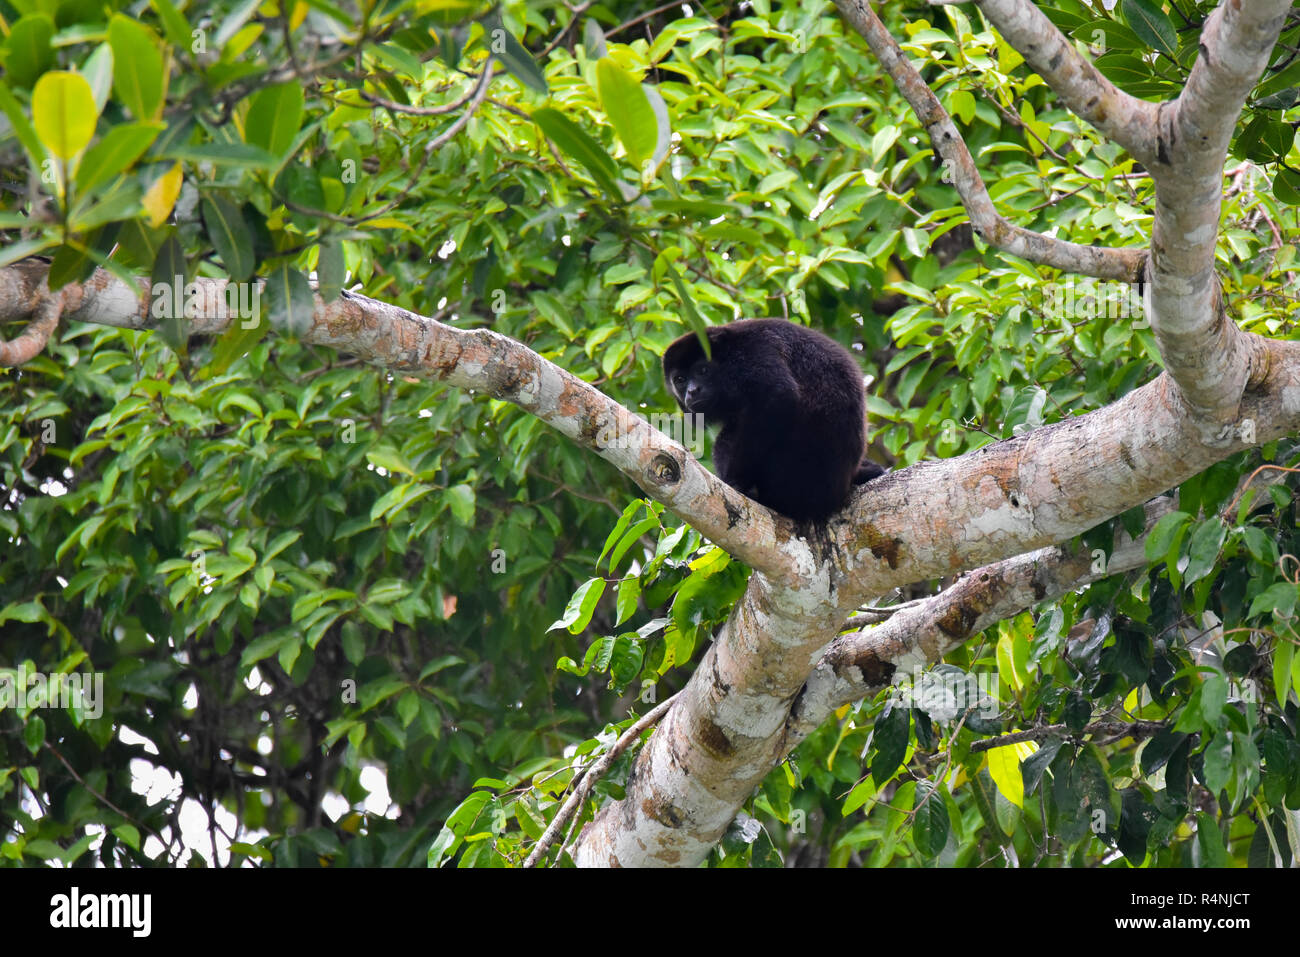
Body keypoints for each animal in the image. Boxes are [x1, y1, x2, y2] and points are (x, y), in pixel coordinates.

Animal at [660, 317, 883, 520]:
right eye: (680, 380)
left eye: (703, 370)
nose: (692, 391)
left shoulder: (751, 351)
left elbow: (778, 394)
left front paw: (736, 480)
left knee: (727, 437)